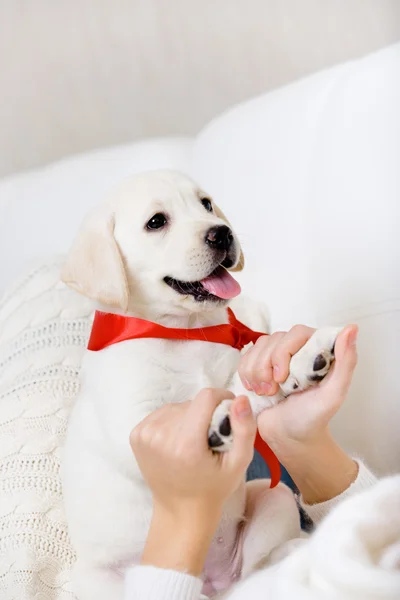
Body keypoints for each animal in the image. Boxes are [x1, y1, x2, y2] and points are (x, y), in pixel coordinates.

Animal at [61, 170, 340, 600]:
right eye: (156, 222)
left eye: (206, 204)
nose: (222, 233)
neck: (184, 331)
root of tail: (212, 583)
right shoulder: (138, 424)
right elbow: (220, 399)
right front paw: (221, 419)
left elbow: (243, 382)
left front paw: (294, 363)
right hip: (96, 580)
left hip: (273, 497)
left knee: (255, 569)